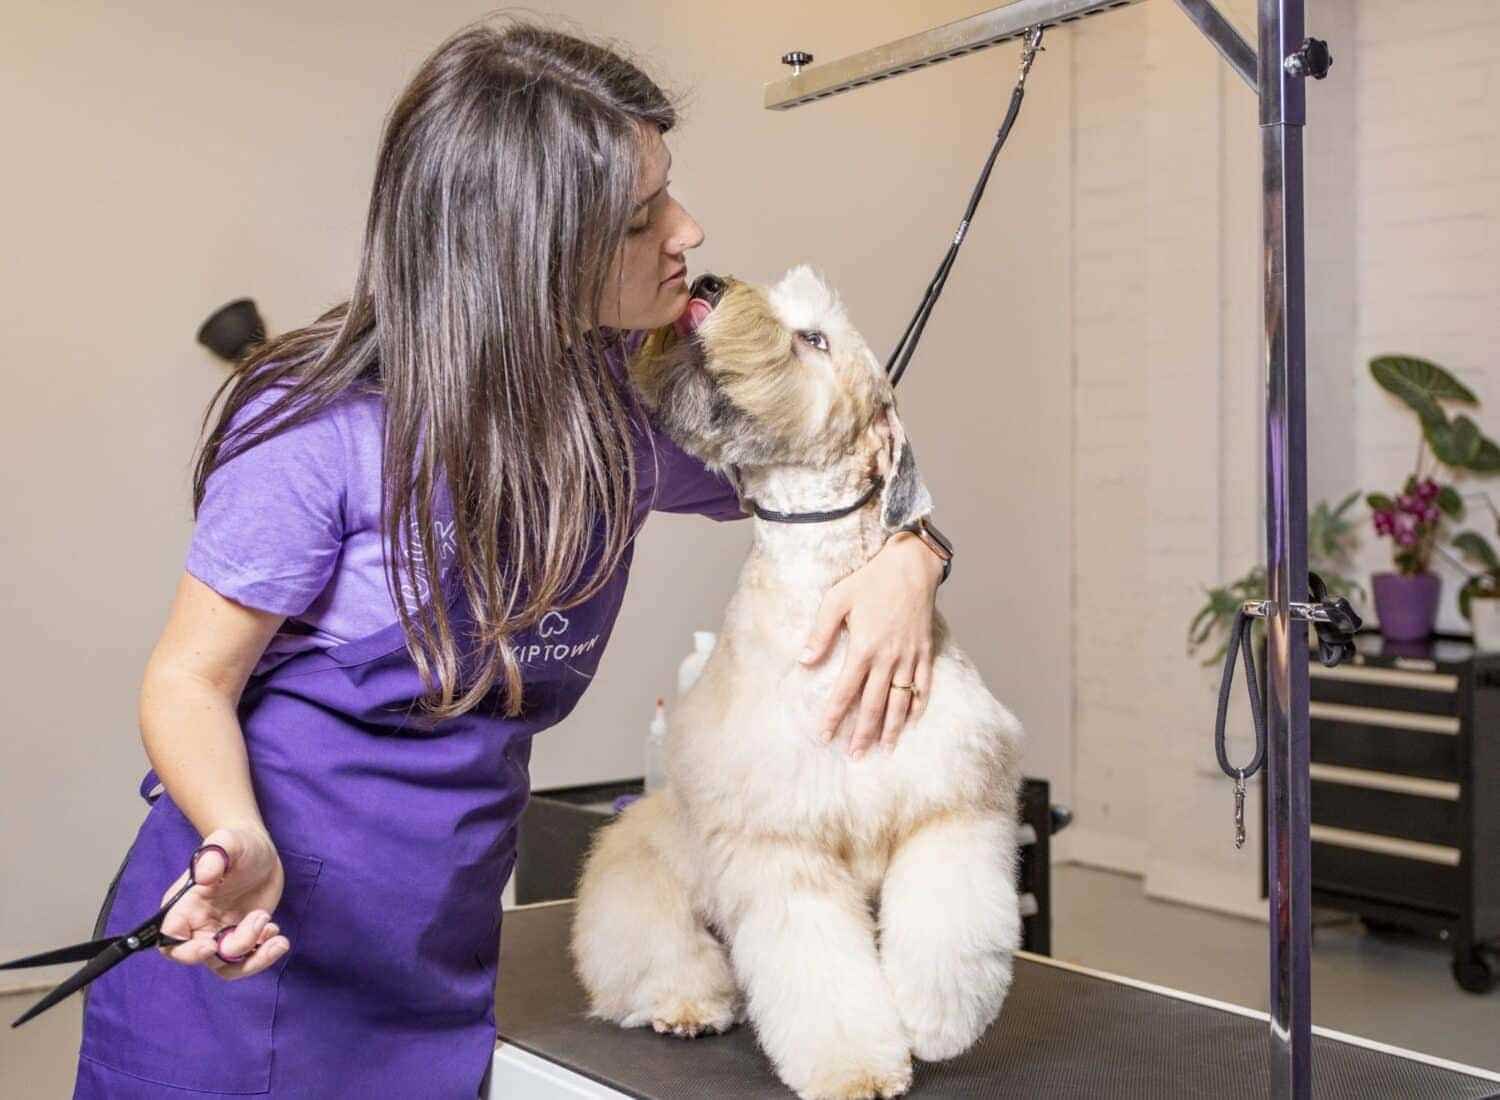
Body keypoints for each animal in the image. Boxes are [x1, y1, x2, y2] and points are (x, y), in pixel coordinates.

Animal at [567, 268, 1026, 1098]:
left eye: (814, 338)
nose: (707, 282)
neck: (824, 584)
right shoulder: (781, 843)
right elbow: (819, 973)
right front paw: (856, 1068)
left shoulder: (954, 799)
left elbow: (953, 920)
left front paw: (937, 1020)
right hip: (642, 882)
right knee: (658, 964)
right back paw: (685, 1004)